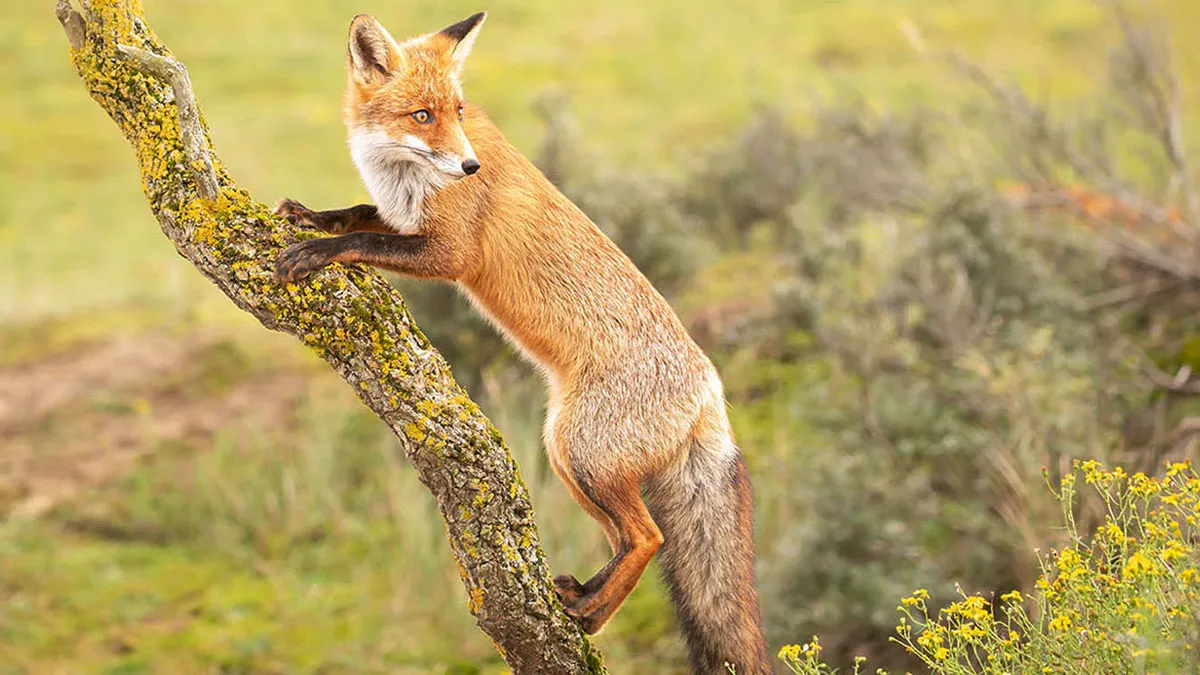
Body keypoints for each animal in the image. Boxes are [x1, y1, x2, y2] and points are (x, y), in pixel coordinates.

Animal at [272, 11, 770, 674]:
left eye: (456, 110)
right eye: (422, 115)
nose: (469, 168)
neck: (403, 176)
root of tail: (711, 387)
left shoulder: (449, 251)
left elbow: (363, 241)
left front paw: (315, 250)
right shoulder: (402, 216)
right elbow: (356, 213)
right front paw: (310, 215)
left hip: (580, 450)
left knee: (649, 537)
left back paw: (586, 612)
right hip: (567, 455)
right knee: (626, 538)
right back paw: (587, 603)